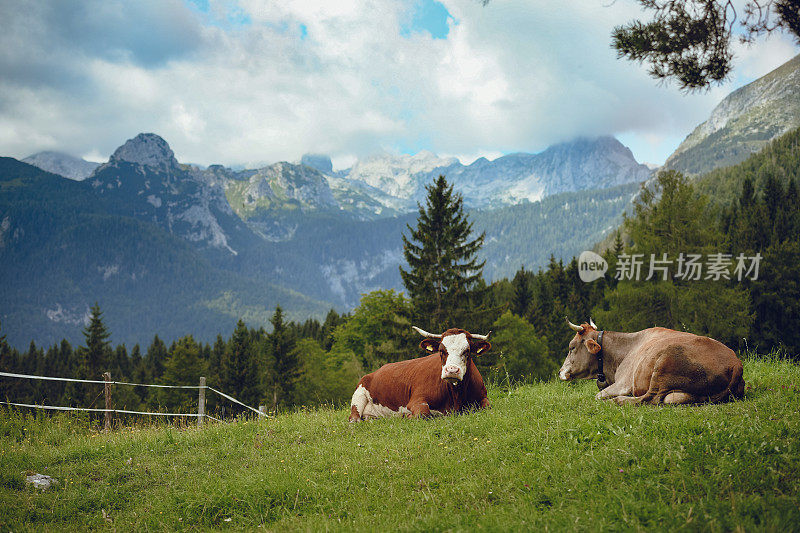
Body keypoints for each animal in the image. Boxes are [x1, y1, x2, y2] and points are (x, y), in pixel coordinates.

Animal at [350, 324, 494, 420]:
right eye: (441, 350)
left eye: (467, 350)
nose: (452, 370)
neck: (456, 397)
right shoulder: (417, 400)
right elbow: (423, 413)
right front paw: (406, 415)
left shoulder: (483, 397)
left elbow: (487, 407)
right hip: (358, 395)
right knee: (354, 418)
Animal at [556, 316, 744, 404]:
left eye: (571, 347)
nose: (560, 372)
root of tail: (736, 363)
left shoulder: (624, 383)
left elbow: (598, 395)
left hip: (664, 362)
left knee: (650, 399)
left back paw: (618, 401)